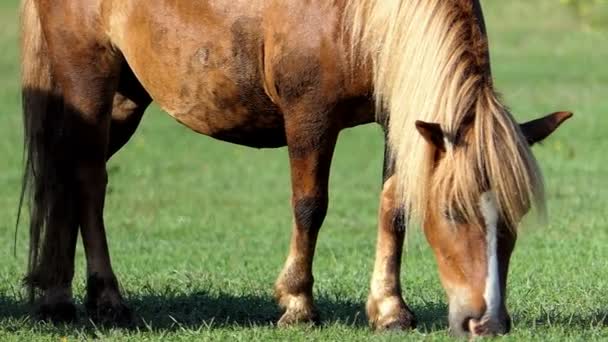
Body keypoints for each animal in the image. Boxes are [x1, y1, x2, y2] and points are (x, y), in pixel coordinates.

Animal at [17, 0, 568, 336]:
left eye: (516, 217)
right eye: (453, 213)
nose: (488, 321)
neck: (358, 16)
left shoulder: (399, 114)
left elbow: (394, 208)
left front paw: (390, 309)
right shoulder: (309, 117)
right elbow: (310, 206)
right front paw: (297, 304)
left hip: (126, 100)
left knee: (65, 176)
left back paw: (54, 295)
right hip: (88, 79)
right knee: (88, 181)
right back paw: (104, 298)